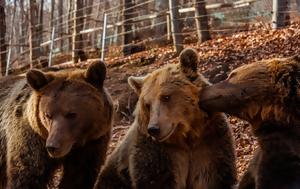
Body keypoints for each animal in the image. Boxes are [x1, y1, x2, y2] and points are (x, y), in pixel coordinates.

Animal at [94, 48, 237, 189]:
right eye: (147, 104)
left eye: (166, 97)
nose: (154, 129)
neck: (186, 136)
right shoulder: (158, 152)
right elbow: (156, 178)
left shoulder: (209, 142)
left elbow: (213, 176)